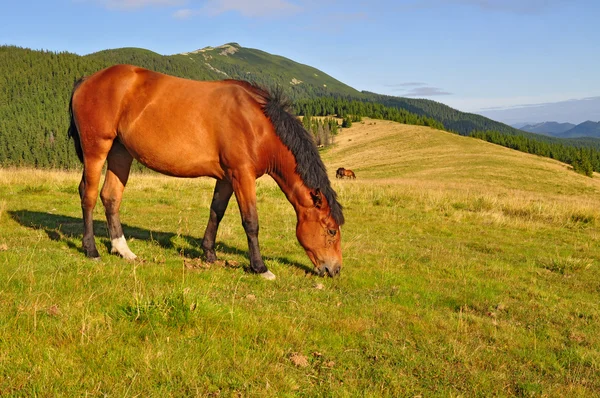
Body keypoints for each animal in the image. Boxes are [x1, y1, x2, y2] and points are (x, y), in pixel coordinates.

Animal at [68, 63, 344, 278]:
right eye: (331, 230)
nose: (335, 270)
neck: (258, 124)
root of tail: (86, 80)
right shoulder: (242, 176)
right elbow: (251, 222)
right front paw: (260, 267)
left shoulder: (227, 179)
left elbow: (216, 212)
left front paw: (209, 253)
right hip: (96, 149)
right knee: (88, 195)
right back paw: (91, 249)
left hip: (120, 152)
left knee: (111, 197)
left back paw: (123, 250)